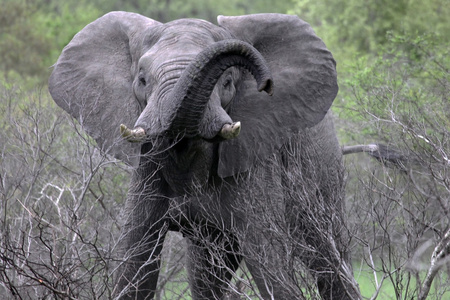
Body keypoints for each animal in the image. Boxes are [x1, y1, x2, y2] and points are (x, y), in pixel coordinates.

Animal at [48, 11, 362, 298]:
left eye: (227, 82)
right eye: (142, 79)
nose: (267, 84)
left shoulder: (256, 162)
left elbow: (271, 266)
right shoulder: (147, 168)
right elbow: (133, 262)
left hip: (324, 178)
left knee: (327, 260)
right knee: (205, 275)